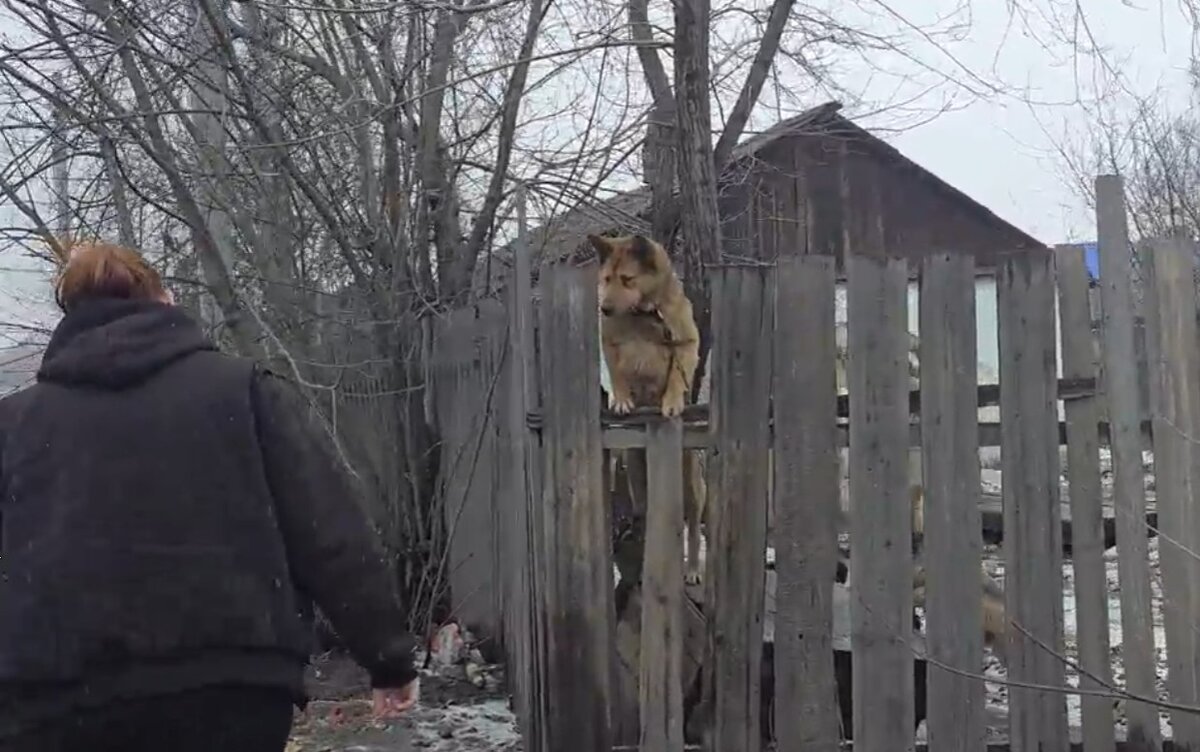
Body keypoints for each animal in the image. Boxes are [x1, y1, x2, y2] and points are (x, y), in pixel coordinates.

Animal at [588, 232, 705, 585]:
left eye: (627, 279)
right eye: (606, 279)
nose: (604, 307)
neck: (642, 313)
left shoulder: (686, 342)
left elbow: (677, 374)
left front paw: (672, 401)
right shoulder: (609, 342)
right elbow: (616, 371)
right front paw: (621, 399)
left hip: (692, 484)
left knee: (693, 528)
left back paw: (691, 568)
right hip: (636, 470)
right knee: (643, 503)